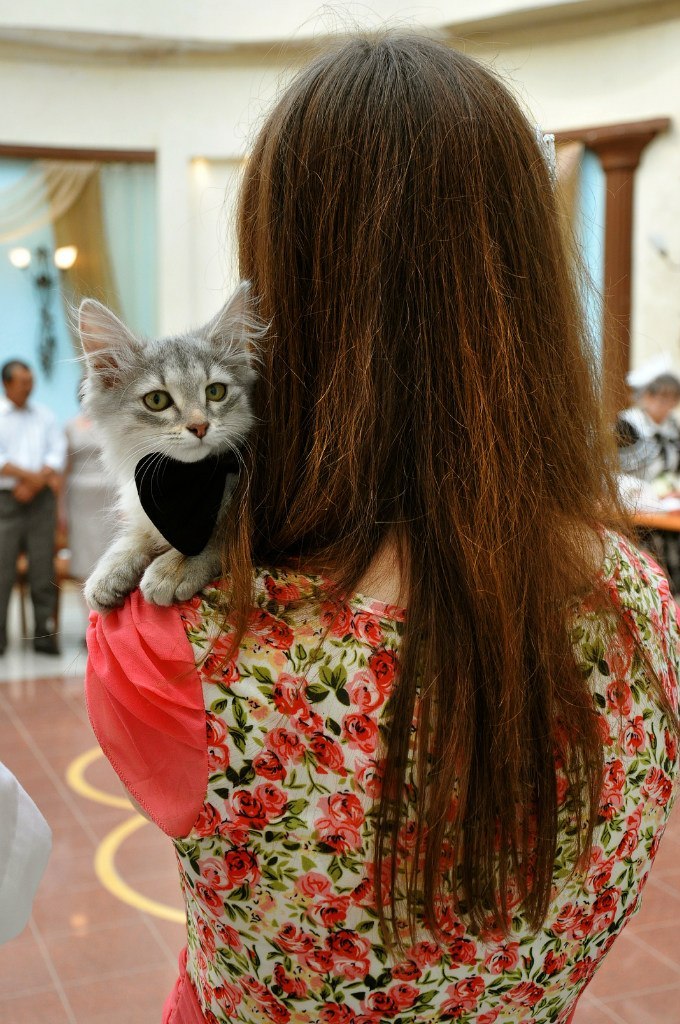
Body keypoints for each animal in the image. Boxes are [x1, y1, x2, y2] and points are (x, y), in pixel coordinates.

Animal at [78, 280, 259, 610]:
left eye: (215, 392)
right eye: (157, 400)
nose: (200, 426)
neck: (186, 483)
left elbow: (220, 535)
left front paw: (175, 567)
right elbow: (135, 535)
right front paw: (110, 570)